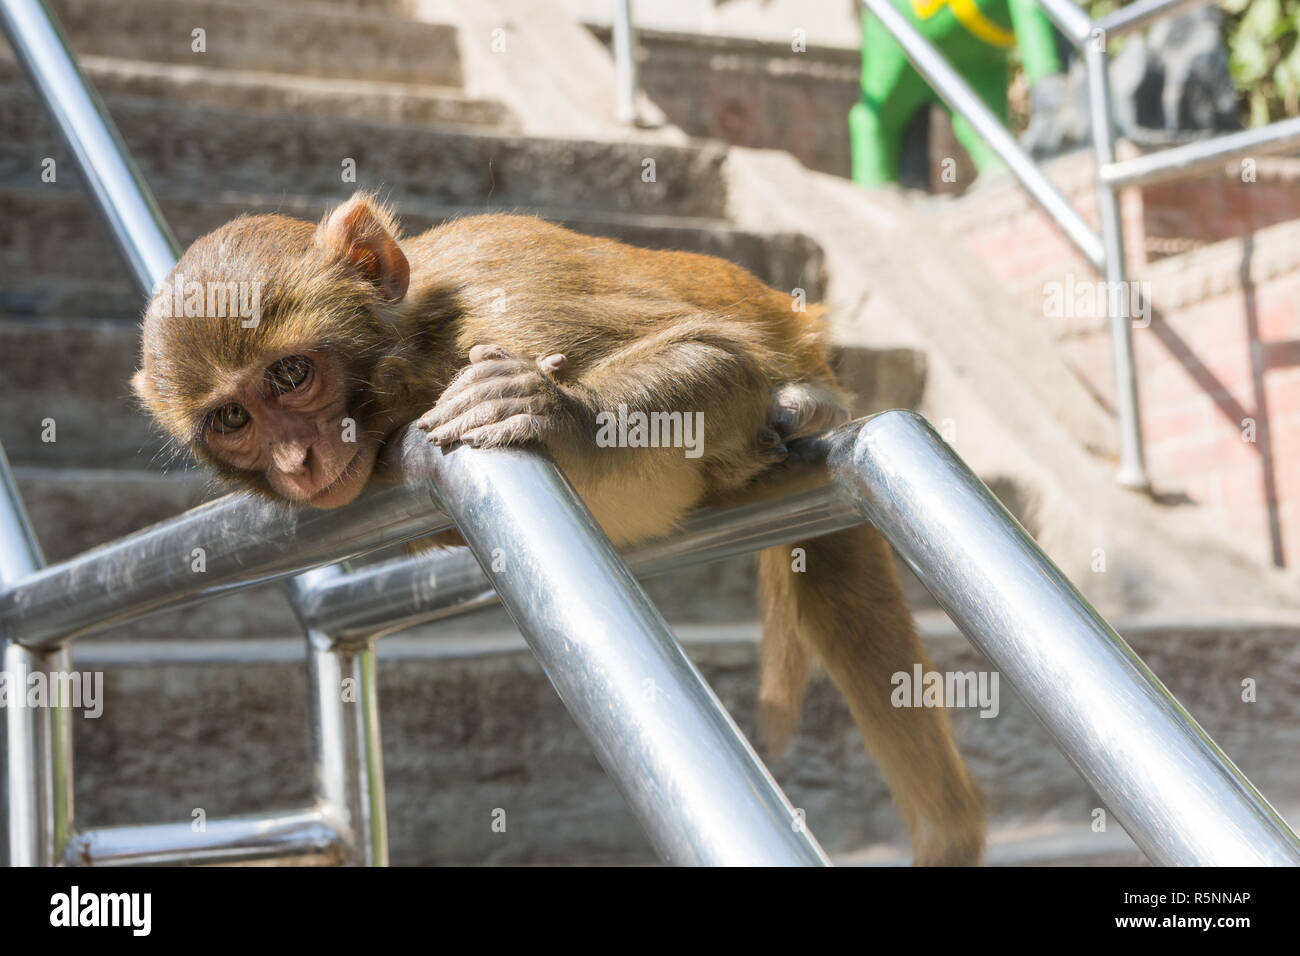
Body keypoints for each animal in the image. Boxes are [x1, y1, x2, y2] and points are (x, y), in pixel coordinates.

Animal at [134, 191, 982, 863]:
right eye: (233, 419)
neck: (410, 354)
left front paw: (561, 412)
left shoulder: (505, 314)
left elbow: (718, 353)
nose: (296, 459)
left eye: (290, 374)